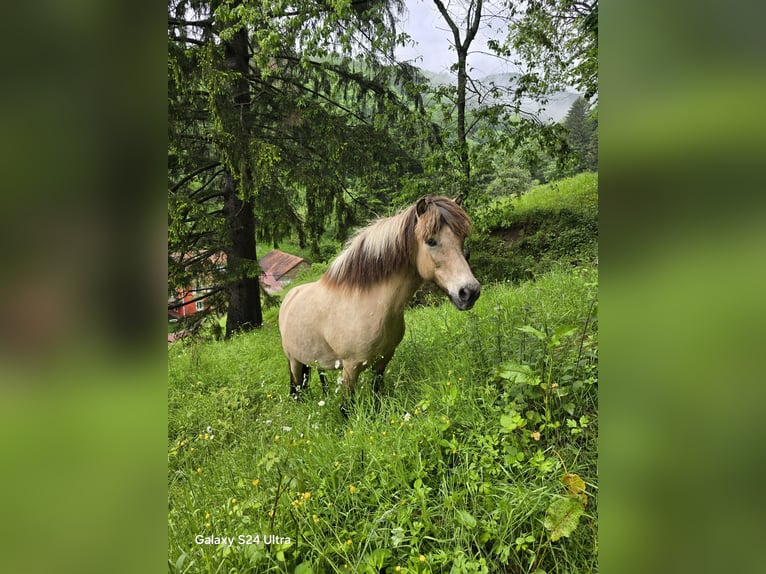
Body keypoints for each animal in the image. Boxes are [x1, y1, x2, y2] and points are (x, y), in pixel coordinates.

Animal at [278, 195, 481, 403]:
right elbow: (346, 406)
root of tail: (289, 297)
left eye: (462, 238)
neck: (368, 305)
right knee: (296, 388)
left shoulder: (383, 360)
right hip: (294, 362)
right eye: (431, 241)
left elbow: (376, 394)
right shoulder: (350, 369)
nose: (469, 292)